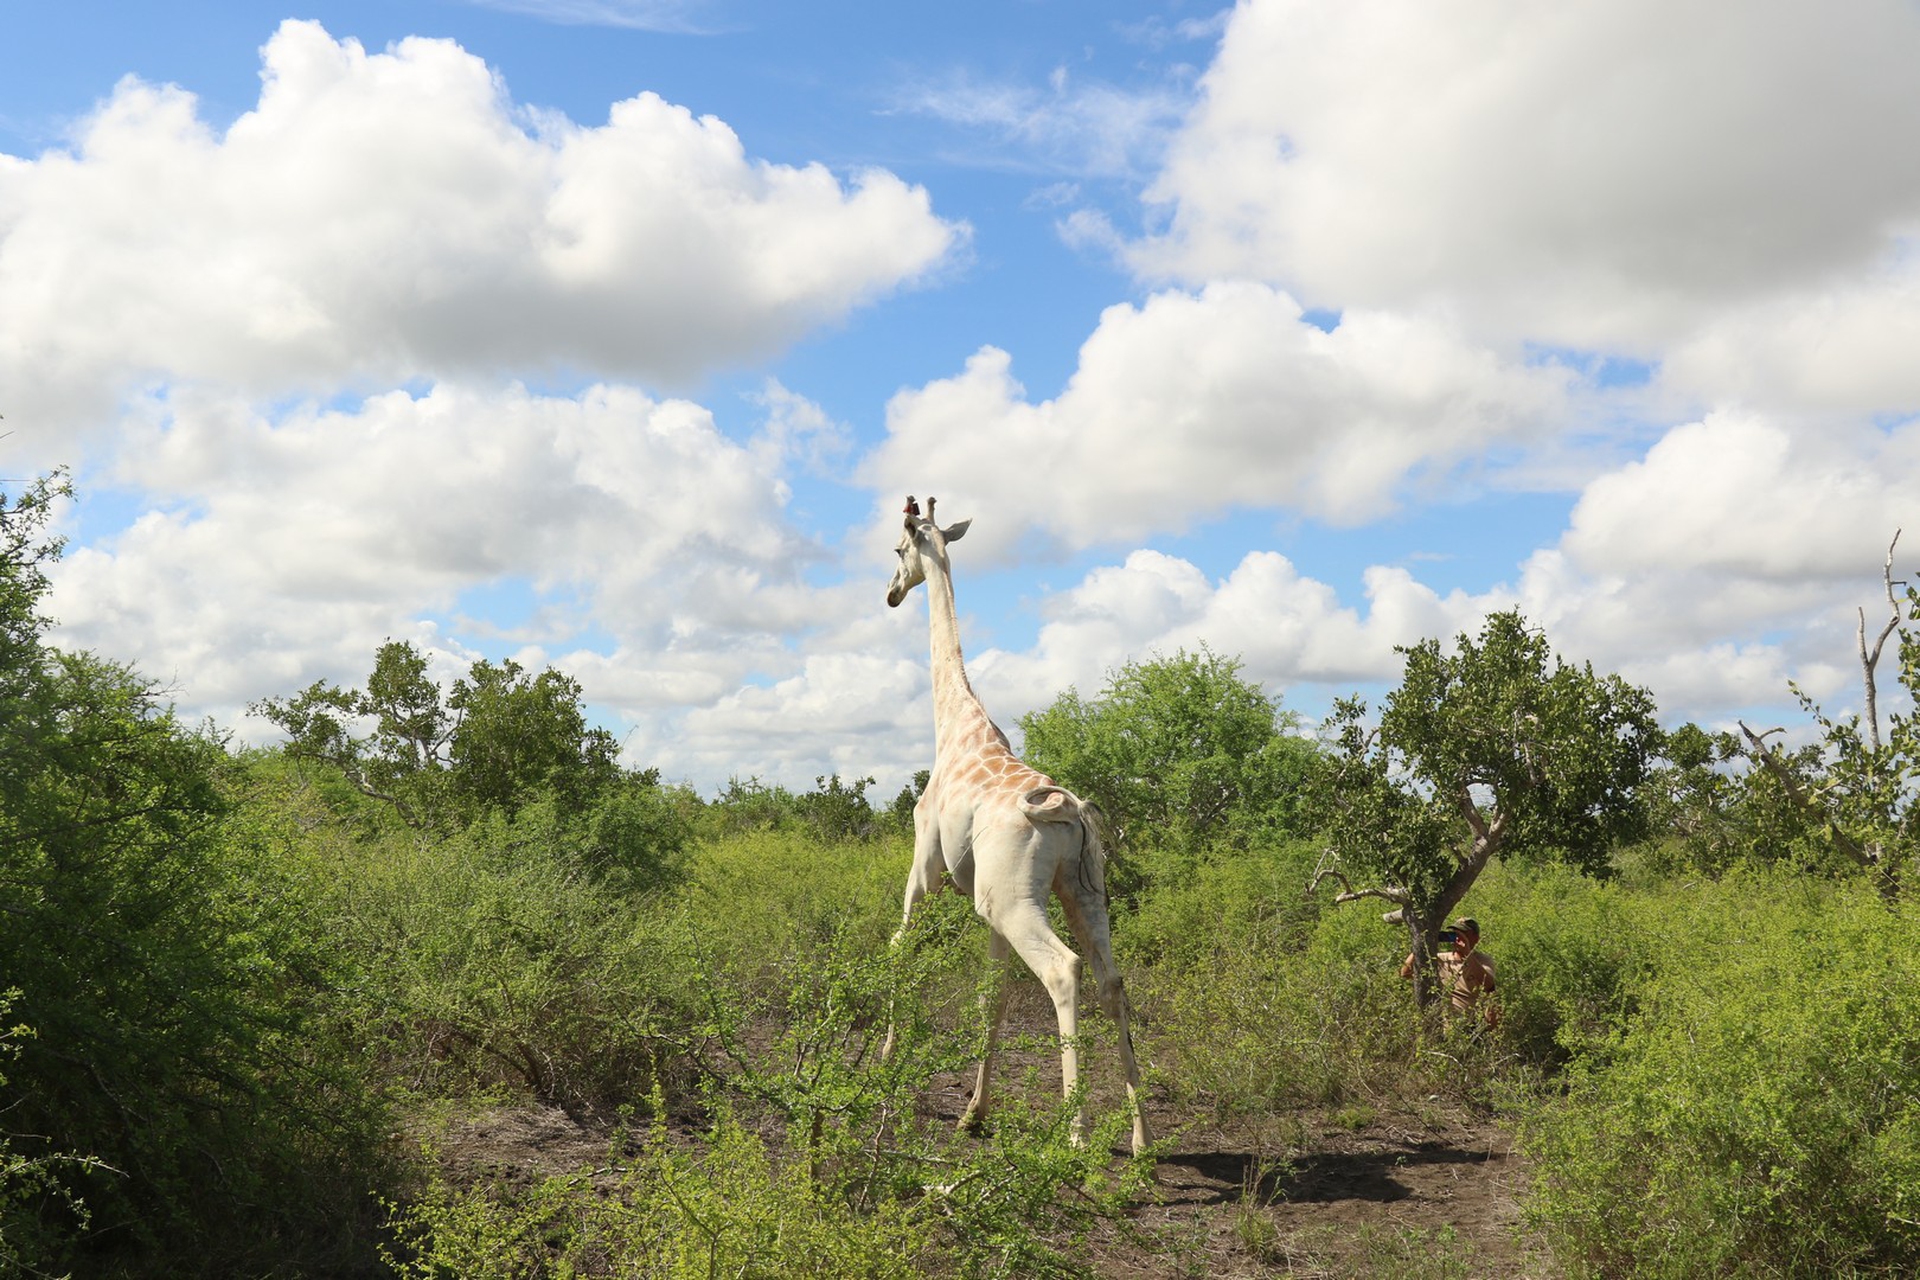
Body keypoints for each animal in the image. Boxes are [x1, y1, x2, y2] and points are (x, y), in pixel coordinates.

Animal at [884, 496, 1152, 1157]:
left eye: (898, 550)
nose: (891, 593)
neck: (953, 724)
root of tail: (1068, 811)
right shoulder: (985, 908)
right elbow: (992, 996)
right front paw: (973, 1114)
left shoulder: (926, 872)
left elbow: (900, 947)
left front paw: (882, 1064)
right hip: (1078, 890)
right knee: (1112, 980)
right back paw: (1141, 1141)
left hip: (1015, 899)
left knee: (1064, 970)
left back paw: (1077, 1136)